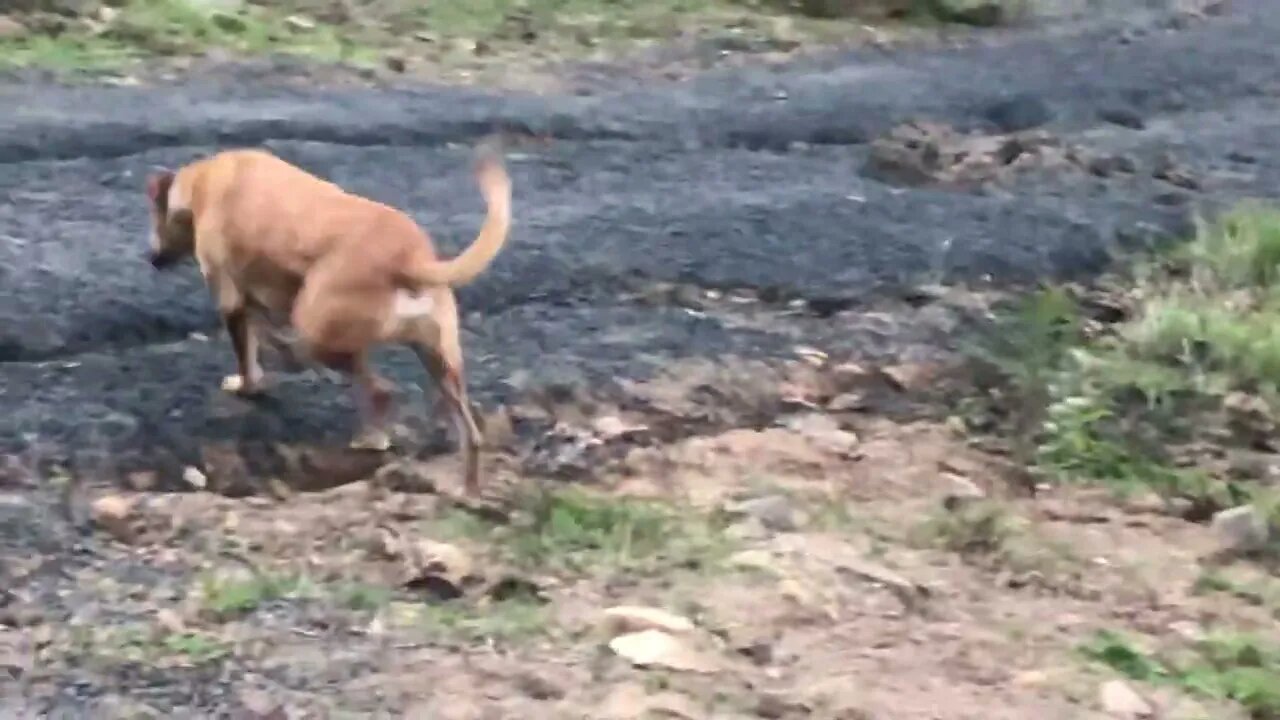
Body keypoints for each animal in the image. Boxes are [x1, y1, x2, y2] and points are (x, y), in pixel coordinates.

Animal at [145, 140, 509, 491]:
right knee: (470, 434)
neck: (202, 182)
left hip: (318, 332)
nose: (151, 259)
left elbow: (247, 355)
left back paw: (371, 438)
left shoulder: (231, 301)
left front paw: (248, 385)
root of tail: (410, 258)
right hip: (440, 360)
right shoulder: (255, 299)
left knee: (379, 389)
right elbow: (263, 331)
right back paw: (469, 491)